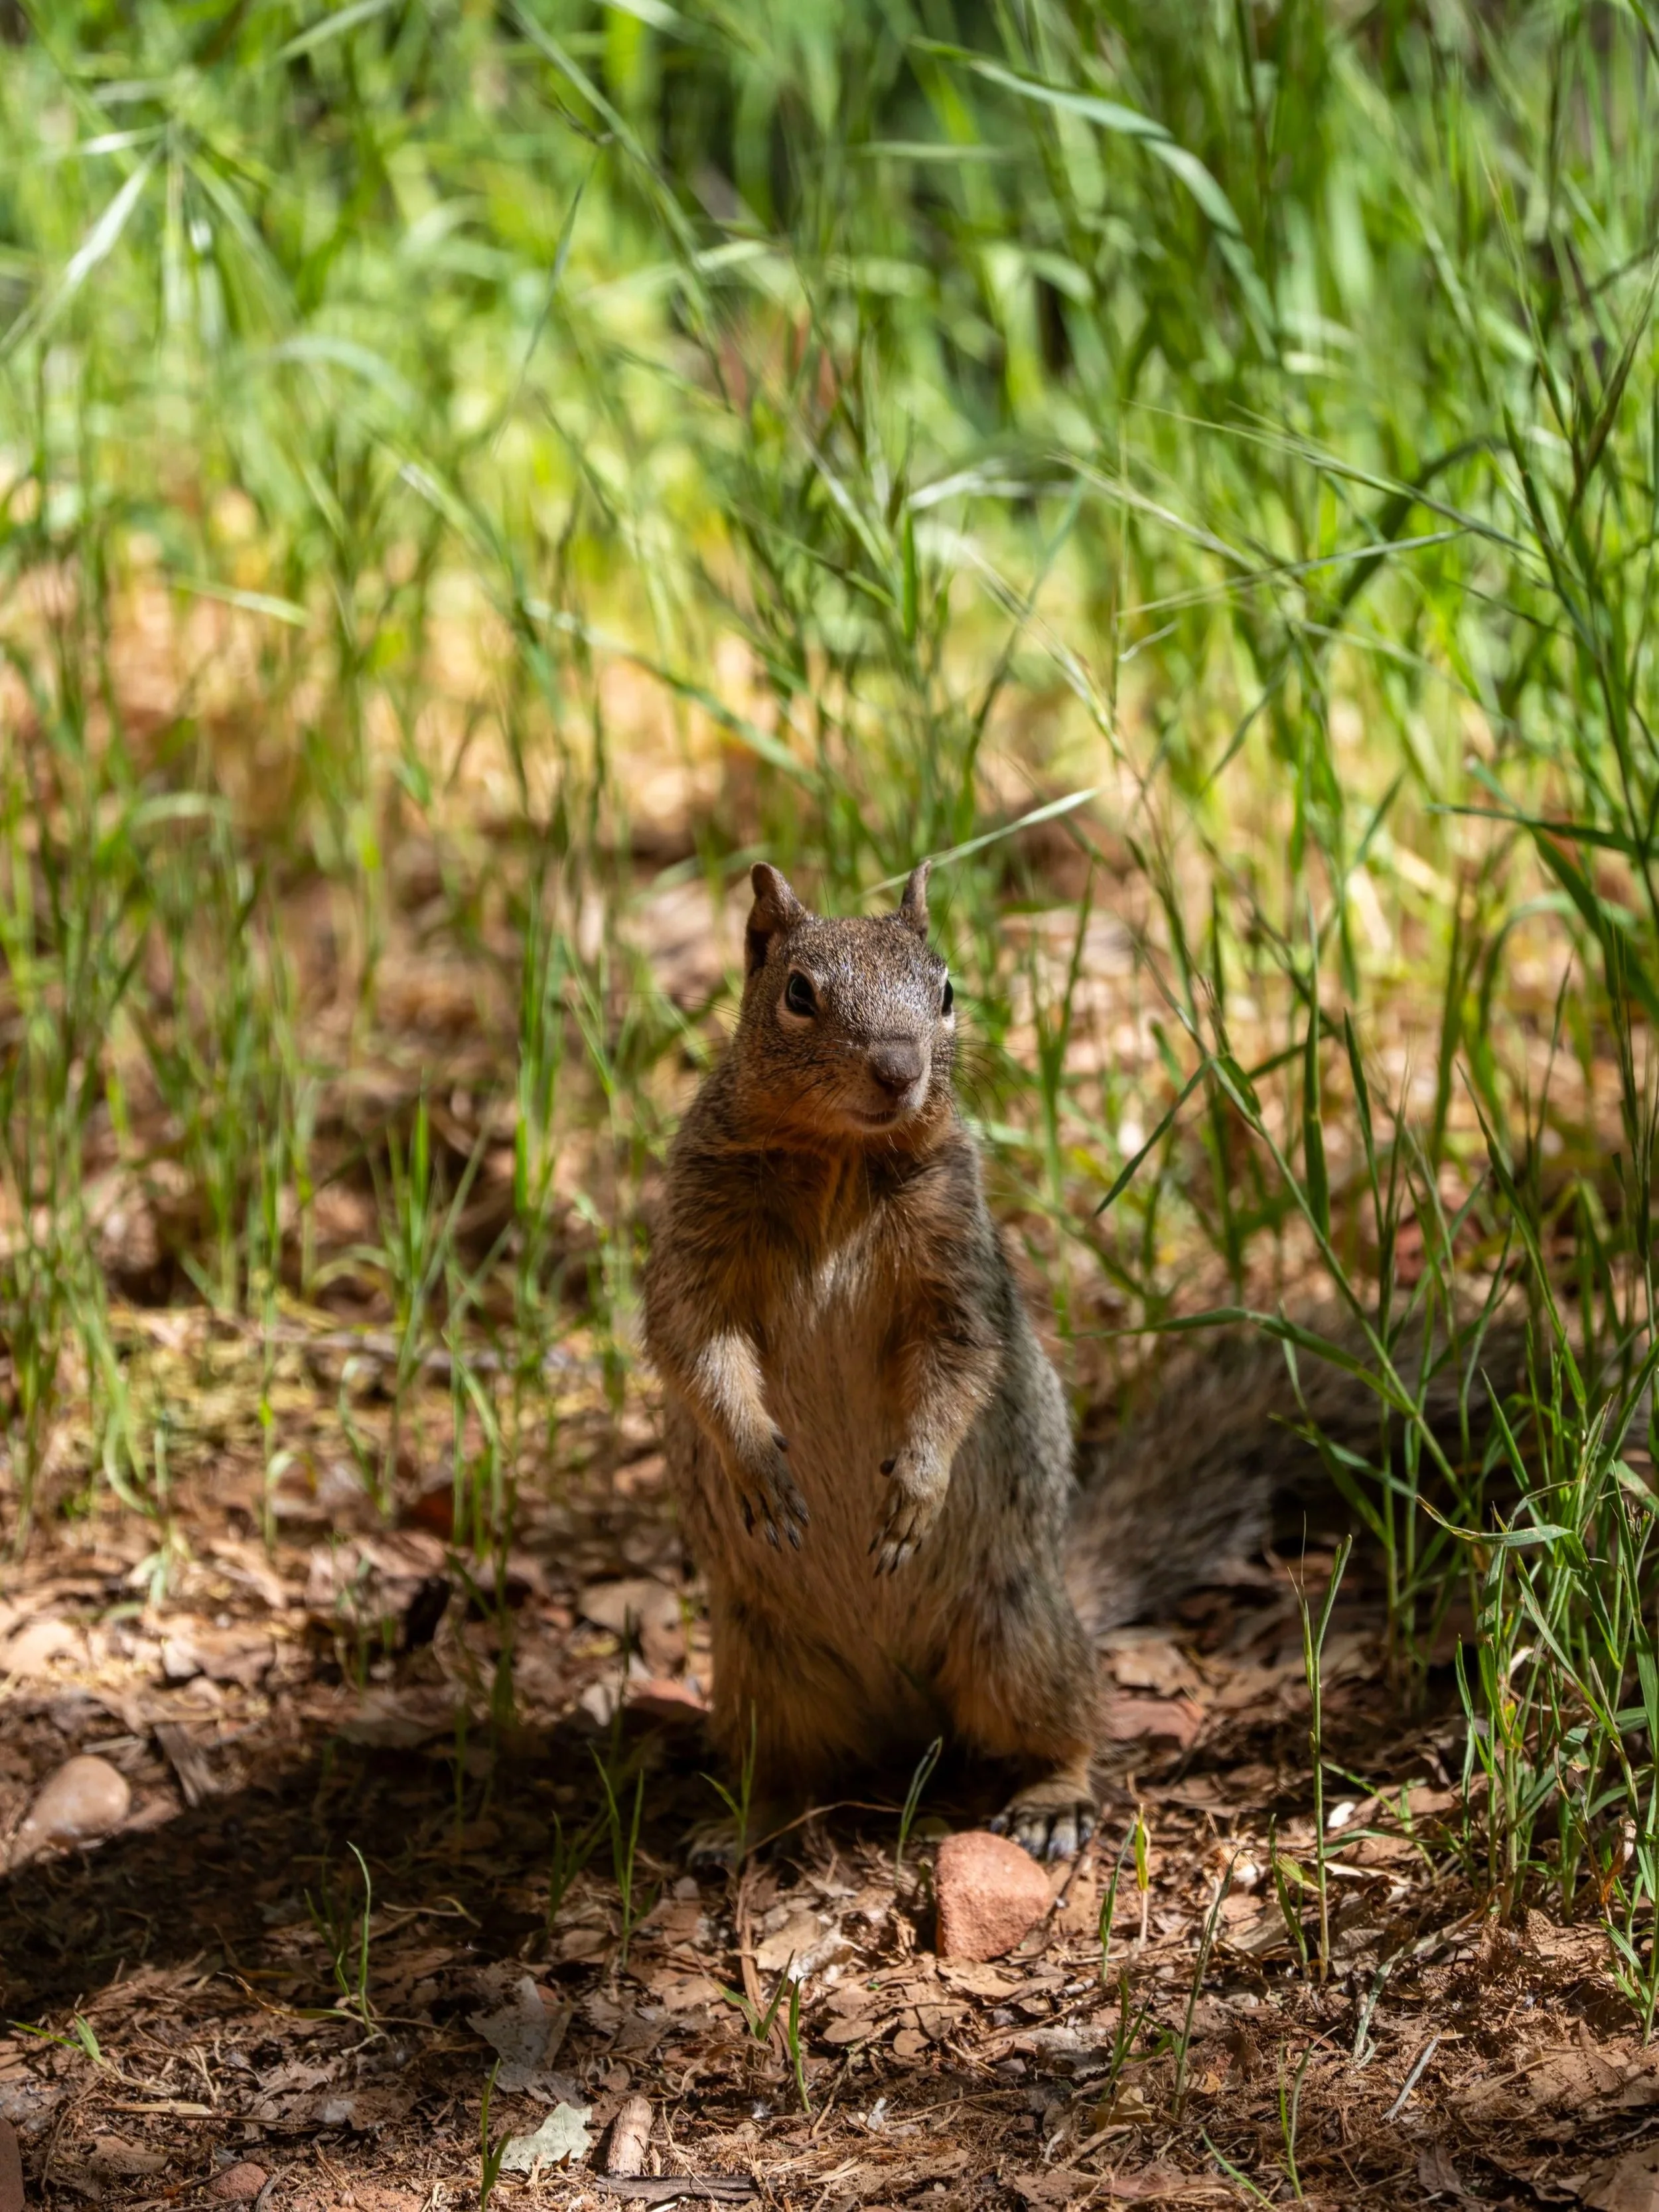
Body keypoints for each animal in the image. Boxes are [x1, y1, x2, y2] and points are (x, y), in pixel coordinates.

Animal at [642, 861, 1521, 1859]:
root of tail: (900, 1715)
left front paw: (916, 1489)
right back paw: (745, 1822)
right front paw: (757, 1464)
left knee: (1071, 1726)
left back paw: (1053, 1800)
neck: (838, 1158)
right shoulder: (699, 1227)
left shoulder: (956, 1263)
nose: (900, 1069)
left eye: (947, 991)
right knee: (786, 1772)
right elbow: (694, 1342)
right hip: (760, 1676)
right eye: (797, 993)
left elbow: (960, 1360)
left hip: (1014, 1639)